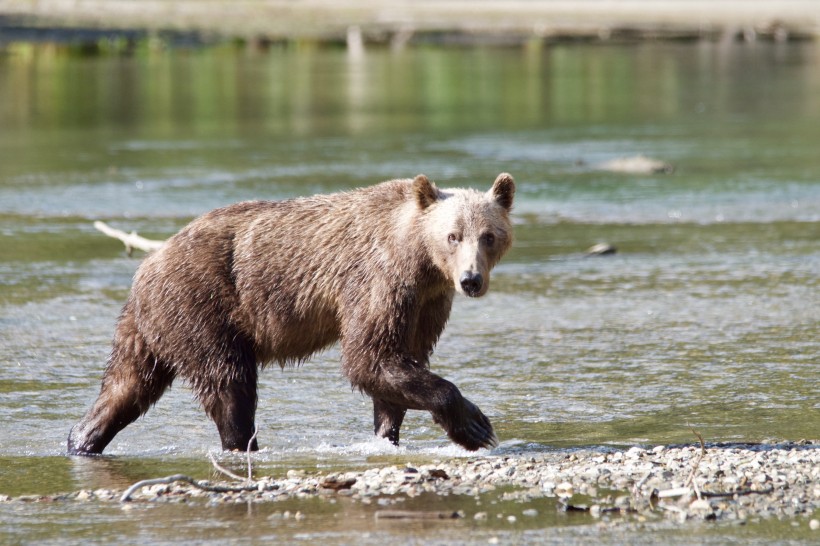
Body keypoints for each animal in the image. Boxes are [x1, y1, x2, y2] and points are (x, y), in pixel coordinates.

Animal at [69, 172, 512, 452]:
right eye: (453, 235)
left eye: (489, 235)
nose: (471, 280)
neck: (418, 259)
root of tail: (148, 264)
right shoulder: (378, 281)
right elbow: (368, 357)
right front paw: (477, 426)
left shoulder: (425, 302)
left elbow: (401, 362)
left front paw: (387, 432)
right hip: (201, 305)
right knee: (229, 383)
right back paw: (242, 443)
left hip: (150, 326)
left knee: (127, 386)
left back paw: (82, 437)